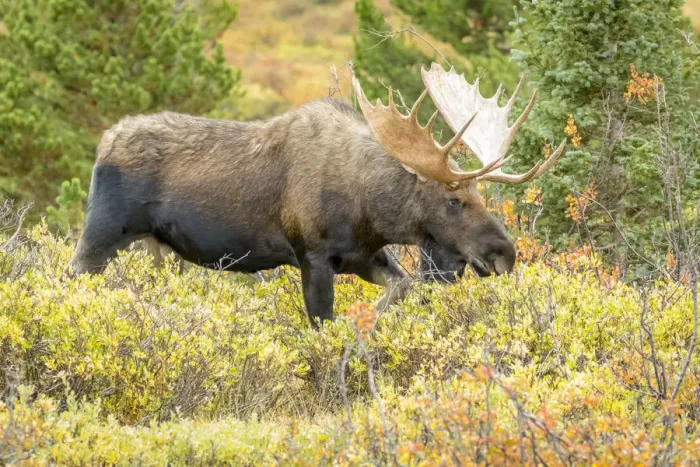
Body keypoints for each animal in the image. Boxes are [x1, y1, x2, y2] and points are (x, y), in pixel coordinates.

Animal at [69, 63, 566, 325]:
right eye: (453, 201)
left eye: (481, 195)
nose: (504, 254)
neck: (372, 211)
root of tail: (102, 143)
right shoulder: (312, 255)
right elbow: (323, 324)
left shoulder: (365, 256)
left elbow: (403, 287)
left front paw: (369, 322)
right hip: (100, 235)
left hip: (154, 250)